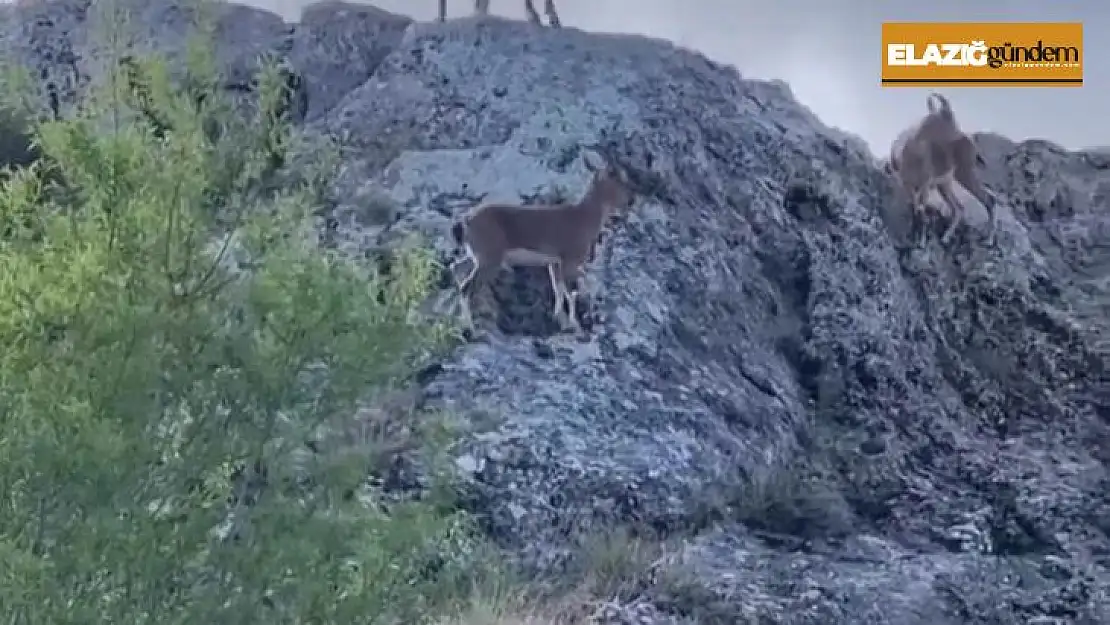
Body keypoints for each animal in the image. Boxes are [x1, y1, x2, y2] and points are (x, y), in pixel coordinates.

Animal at [444, 150, 634, 335]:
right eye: (617, 177)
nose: (630, 201)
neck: (583, 217)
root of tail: (465, 220)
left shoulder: (554, 263)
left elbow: (558, 290)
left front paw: (559, 321)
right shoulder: (570, 261)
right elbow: (571, 292)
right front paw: (574, 326)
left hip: (476, 255)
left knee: (457, 268)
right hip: (489, 259)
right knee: (466, 287)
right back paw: (470, 328)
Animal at [883, 91, 999, 245]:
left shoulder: (923, 186)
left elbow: (921, 212)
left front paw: (921, 242)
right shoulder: (909, 184)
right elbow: (917, 210)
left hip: (963, 175)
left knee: (988, 199)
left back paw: (988, 240)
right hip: (944, 186)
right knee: (959, 207)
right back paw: (946, 237)